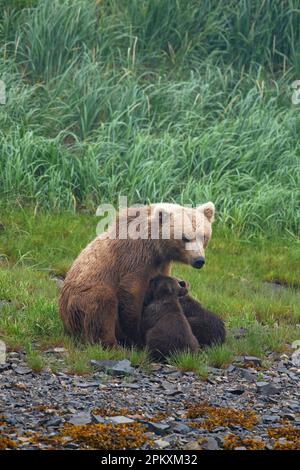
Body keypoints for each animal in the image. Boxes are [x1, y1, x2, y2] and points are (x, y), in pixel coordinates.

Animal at [58, 203, 214, 348]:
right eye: (185, 237)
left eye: (204, 236)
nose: (199, 260)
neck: (155, 247)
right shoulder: (135, 258)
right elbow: (131, 293)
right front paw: (135, 336)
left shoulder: (161, 263)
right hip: (80, 300)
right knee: (102, 304)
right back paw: (111, 344)